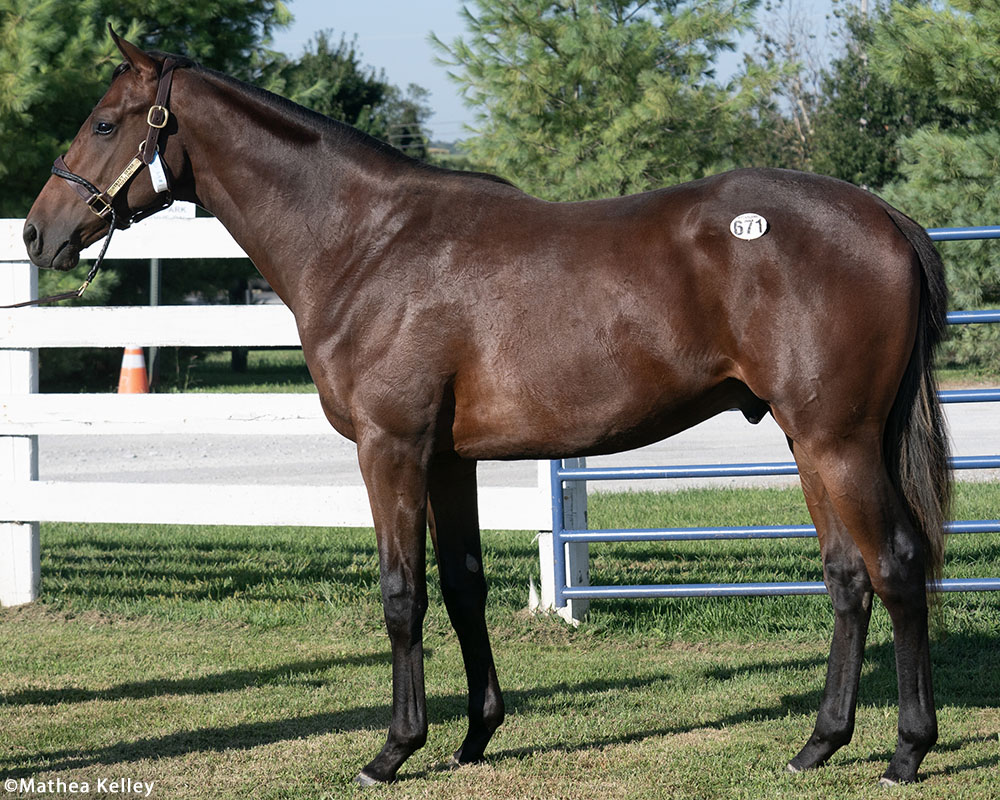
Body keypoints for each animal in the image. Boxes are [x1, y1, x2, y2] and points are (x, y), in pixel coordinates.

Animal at [19, 32, 948, 788]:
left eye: (105, 123)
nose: (35, 233)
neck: (367, 242)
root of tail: (884, 217)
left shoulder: (390, 448)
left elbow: (402, 594)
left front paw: (393, 750)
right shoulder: (445, 459)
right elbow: (463, 586)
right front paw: (474, 737)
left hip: (839, 441)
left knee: (898, 565)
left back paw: (907, 750)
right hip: (808, 439)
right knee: (848, 577)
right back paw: (818, 744)